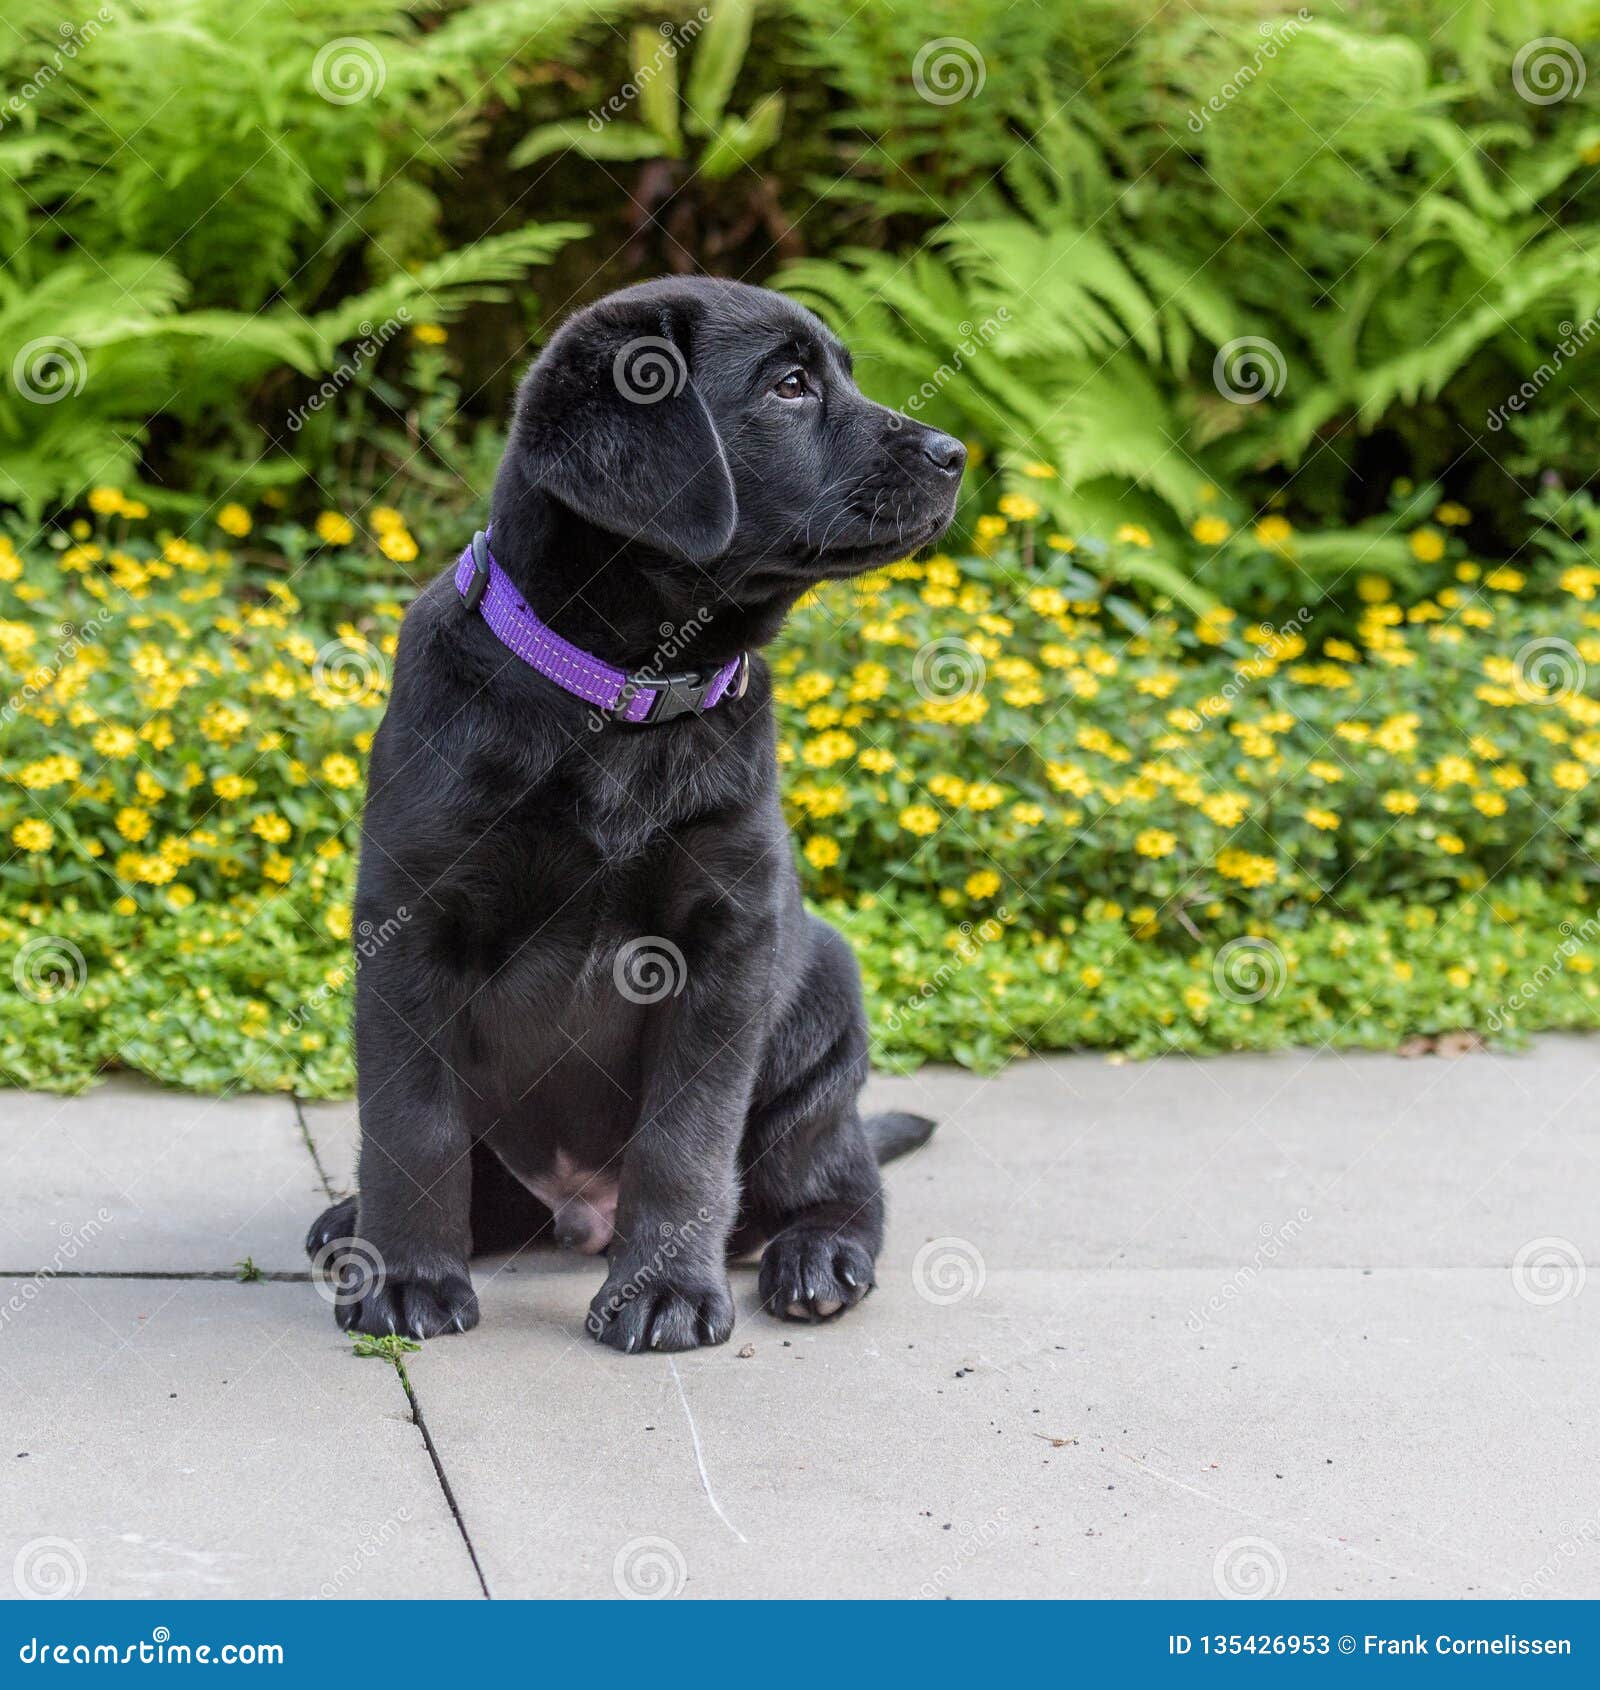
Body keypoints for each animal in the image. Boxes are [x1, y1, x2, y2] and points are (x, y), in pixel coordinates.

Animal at [309, 280, 966, 1358]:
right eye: (789, 386)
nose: (955, 452)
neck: (624, 695)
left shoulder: (726, 936)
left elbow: (686, 1141)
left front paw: (662, 1292)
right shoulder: (411, 922)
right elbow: (410, 1125)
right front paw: (407, 1276)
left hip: (821, 1016)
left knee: (841, 1185)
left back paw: (817, 1257)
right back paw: (351, 1224)